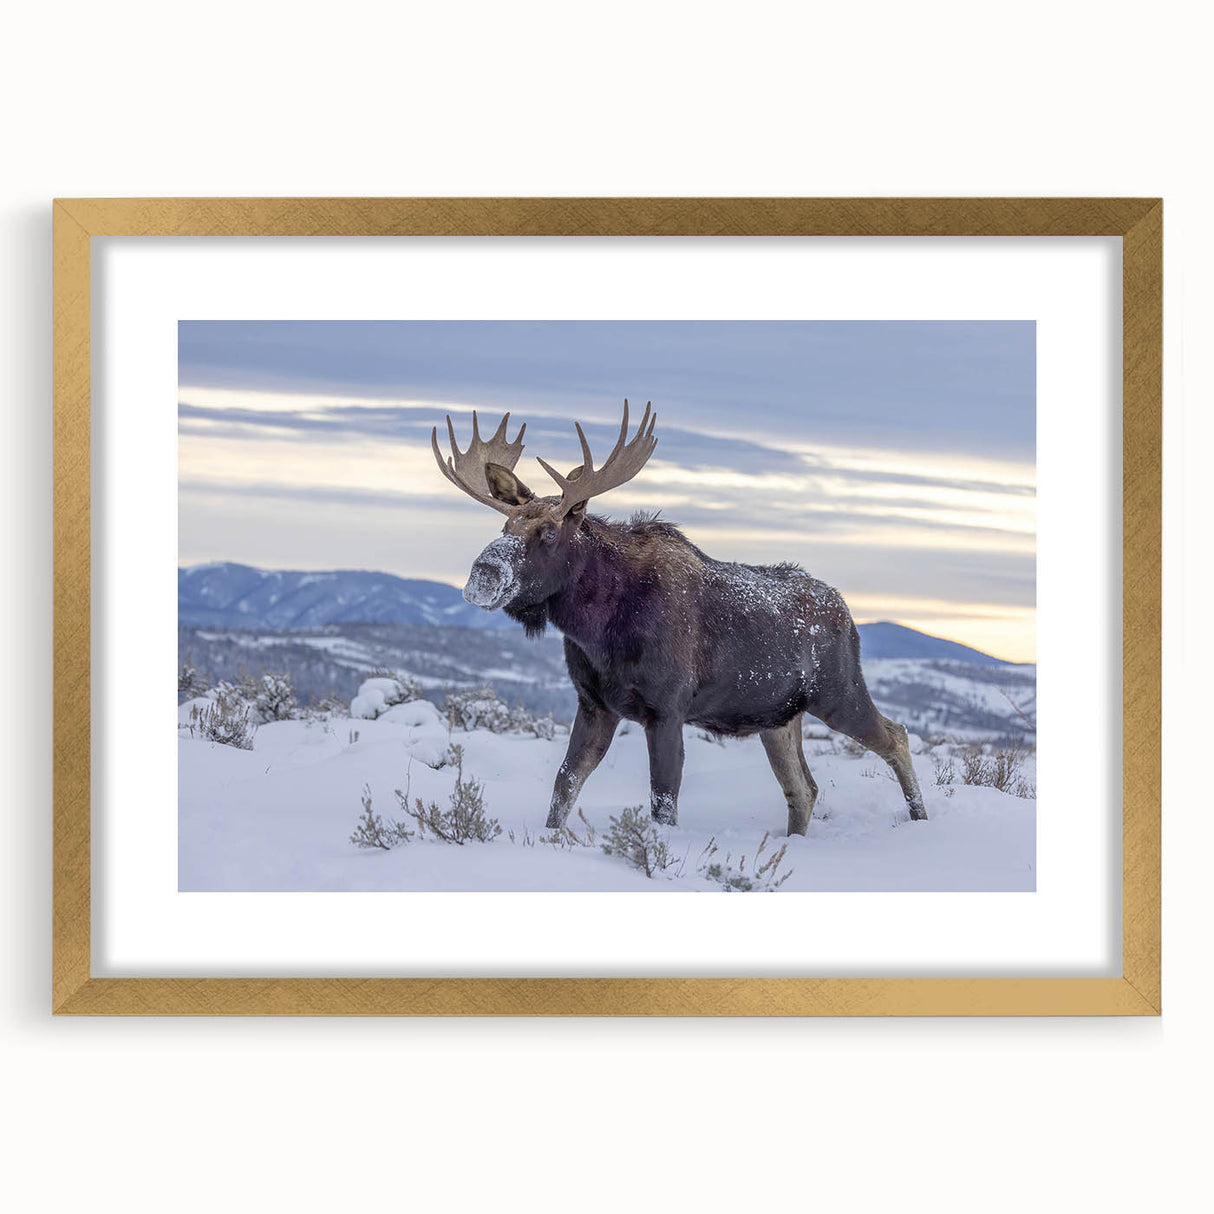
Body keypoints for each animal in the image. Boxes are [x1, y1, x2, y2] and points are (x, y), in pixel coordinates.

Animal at [431, 401, 927, 836]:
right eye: (505, 527)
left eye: (549, 532)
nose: (482, 574)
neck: (597, 627)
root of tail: (848, 615)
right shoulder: (594, 704)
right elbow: (564, 785)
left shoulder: (666, 710)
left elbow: (663, 802)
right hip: (779, 718)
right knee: (804, 789)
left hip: (839, 692)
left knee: (897, 736)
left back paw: (920, 821)